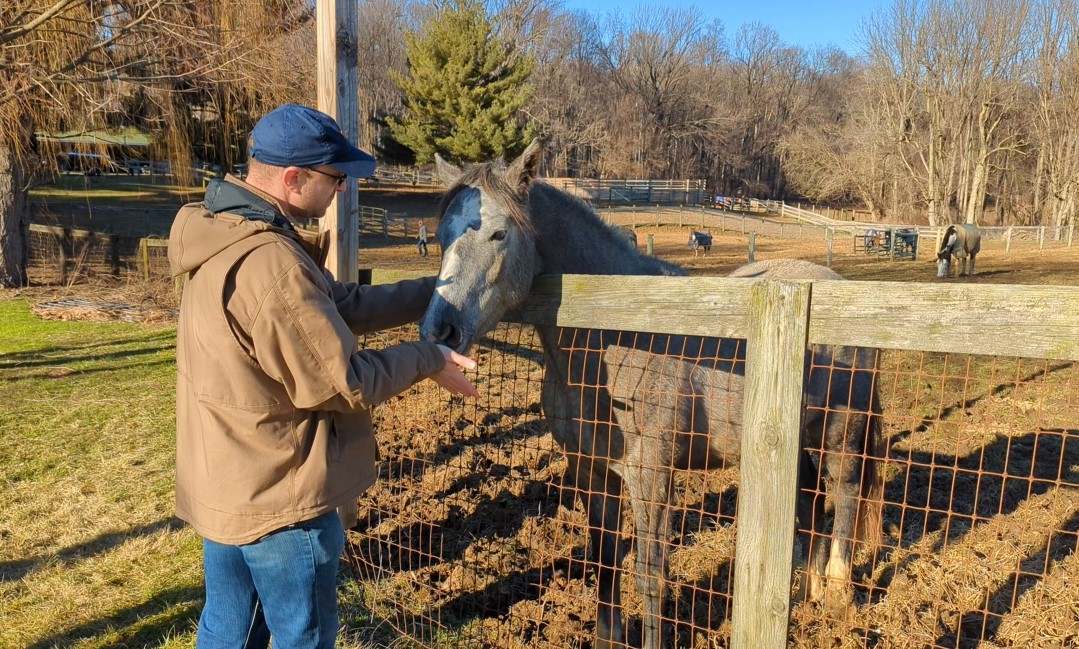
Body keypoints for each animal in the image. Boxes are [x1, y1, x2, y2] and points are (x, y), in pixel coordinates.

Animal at [416, 141, 880, 647]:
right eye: (440, 236)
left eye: (499, 233)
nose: (441, 330)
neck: (616, 337)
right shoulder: (592, 470)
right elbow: (604, 559)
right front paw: (607, 636)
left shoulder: (651, 477)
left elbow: (650, 574)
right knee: (813, 500)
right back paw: (807, 591)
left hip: (842, 438)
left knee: (846, 497)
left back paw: (836, 596)